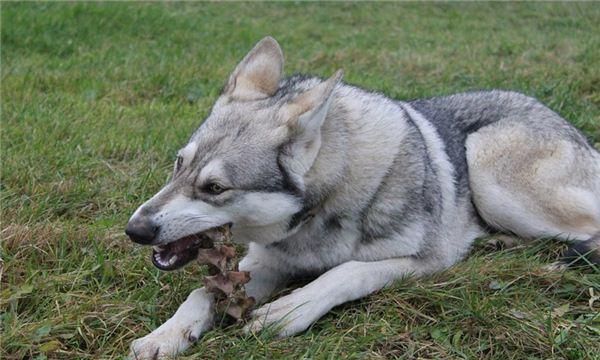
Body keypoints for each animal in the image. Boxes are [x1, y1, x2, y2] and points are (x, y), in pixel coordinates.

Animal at [124, 37, 596, 360]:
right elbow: (202, 293)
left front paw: (289, 310)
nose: (135, 229)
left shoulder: (428, 261)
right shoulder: (265, 262)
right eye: (178, 165)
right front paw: (165, 335)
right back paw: (500, 242)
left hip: (488, 169)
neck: (319, 215)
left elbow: (346, 271)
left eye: (215, 188)